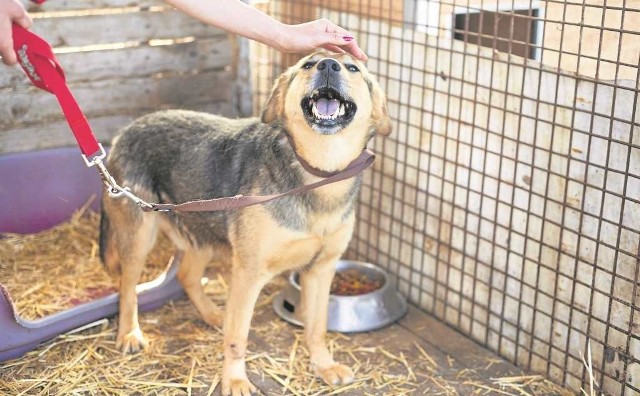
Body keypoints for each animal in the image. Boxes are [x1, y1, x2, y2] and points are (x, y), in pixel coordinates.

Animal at [99, 51, 390, 394]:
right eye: (308, 64)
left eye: (353, 67)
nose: (328, 65)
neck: (319, 175)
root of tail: (124, 131)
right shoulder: (249, 274)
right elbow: (238, 338)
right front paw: (236, 380)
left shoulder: (322, 269)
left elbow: (317, 327)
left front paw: (324, 365)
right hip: (140, 238)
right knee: (127, 287)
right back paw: (129, 333)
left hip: (201, 234)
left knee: (186, 276)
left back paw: (213, 315)